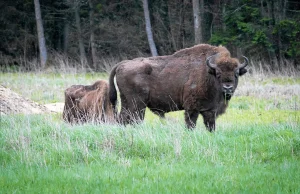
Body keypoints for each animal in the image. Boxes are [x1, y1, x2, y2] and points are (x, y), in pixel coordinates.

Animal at [109, 44, 247, 132]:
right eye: (218, 73)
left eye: (236, 74)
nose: (228, 88)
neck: (208, 72)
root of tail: (123, 64)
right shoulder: (192, 108)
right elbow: (190, 123)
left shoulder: (209, 110)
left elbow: (210, 125)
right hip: (137, 105)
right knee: (132, 119)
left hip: (127, 103)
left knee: (123, 119)